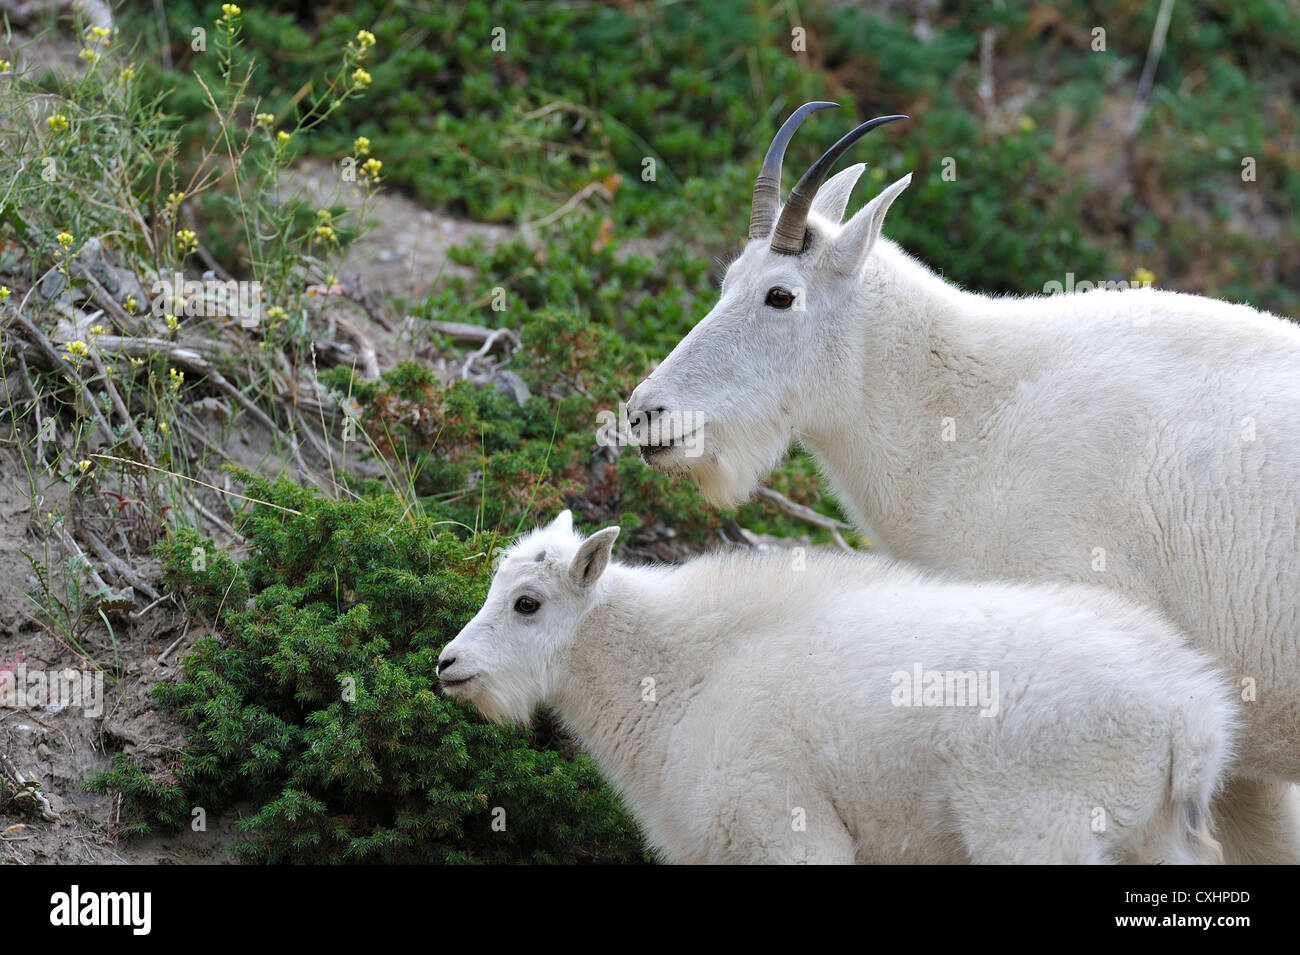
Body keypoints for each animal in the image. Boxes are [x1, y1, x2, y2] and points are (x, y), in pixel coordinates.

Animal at [438, 511, 1235, 865]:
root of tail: (1190, 711)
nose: (447, 665)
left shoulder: (783, 829)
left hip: (1038, 830)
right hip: (1155, 837)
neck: (686, 678)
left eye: (528, 603)